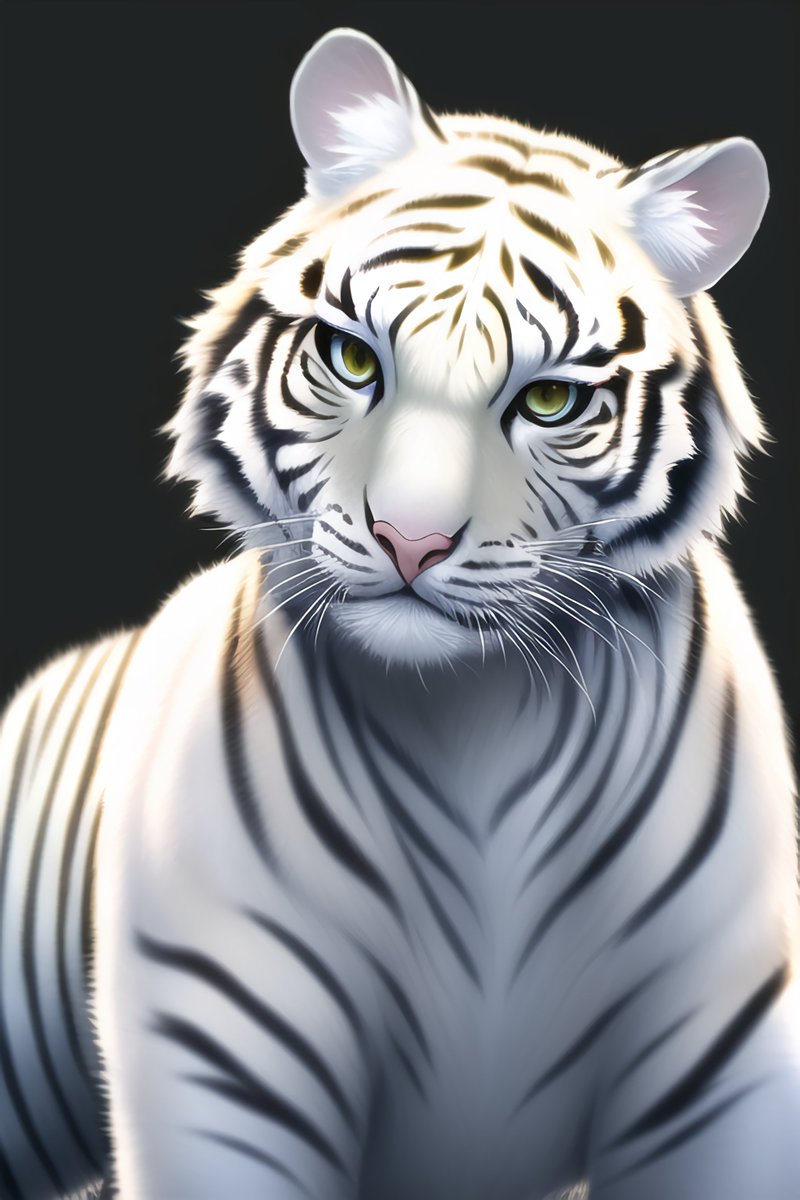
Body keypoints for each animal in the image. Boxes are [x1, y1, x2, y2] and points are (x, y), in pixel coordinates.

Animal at [1, 23, 798, 1200]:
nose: (409, 540)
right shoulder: (221, 1044)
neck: (469, 730)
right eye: (351, 358)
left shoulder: (720, 1057)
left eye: (549, 399)